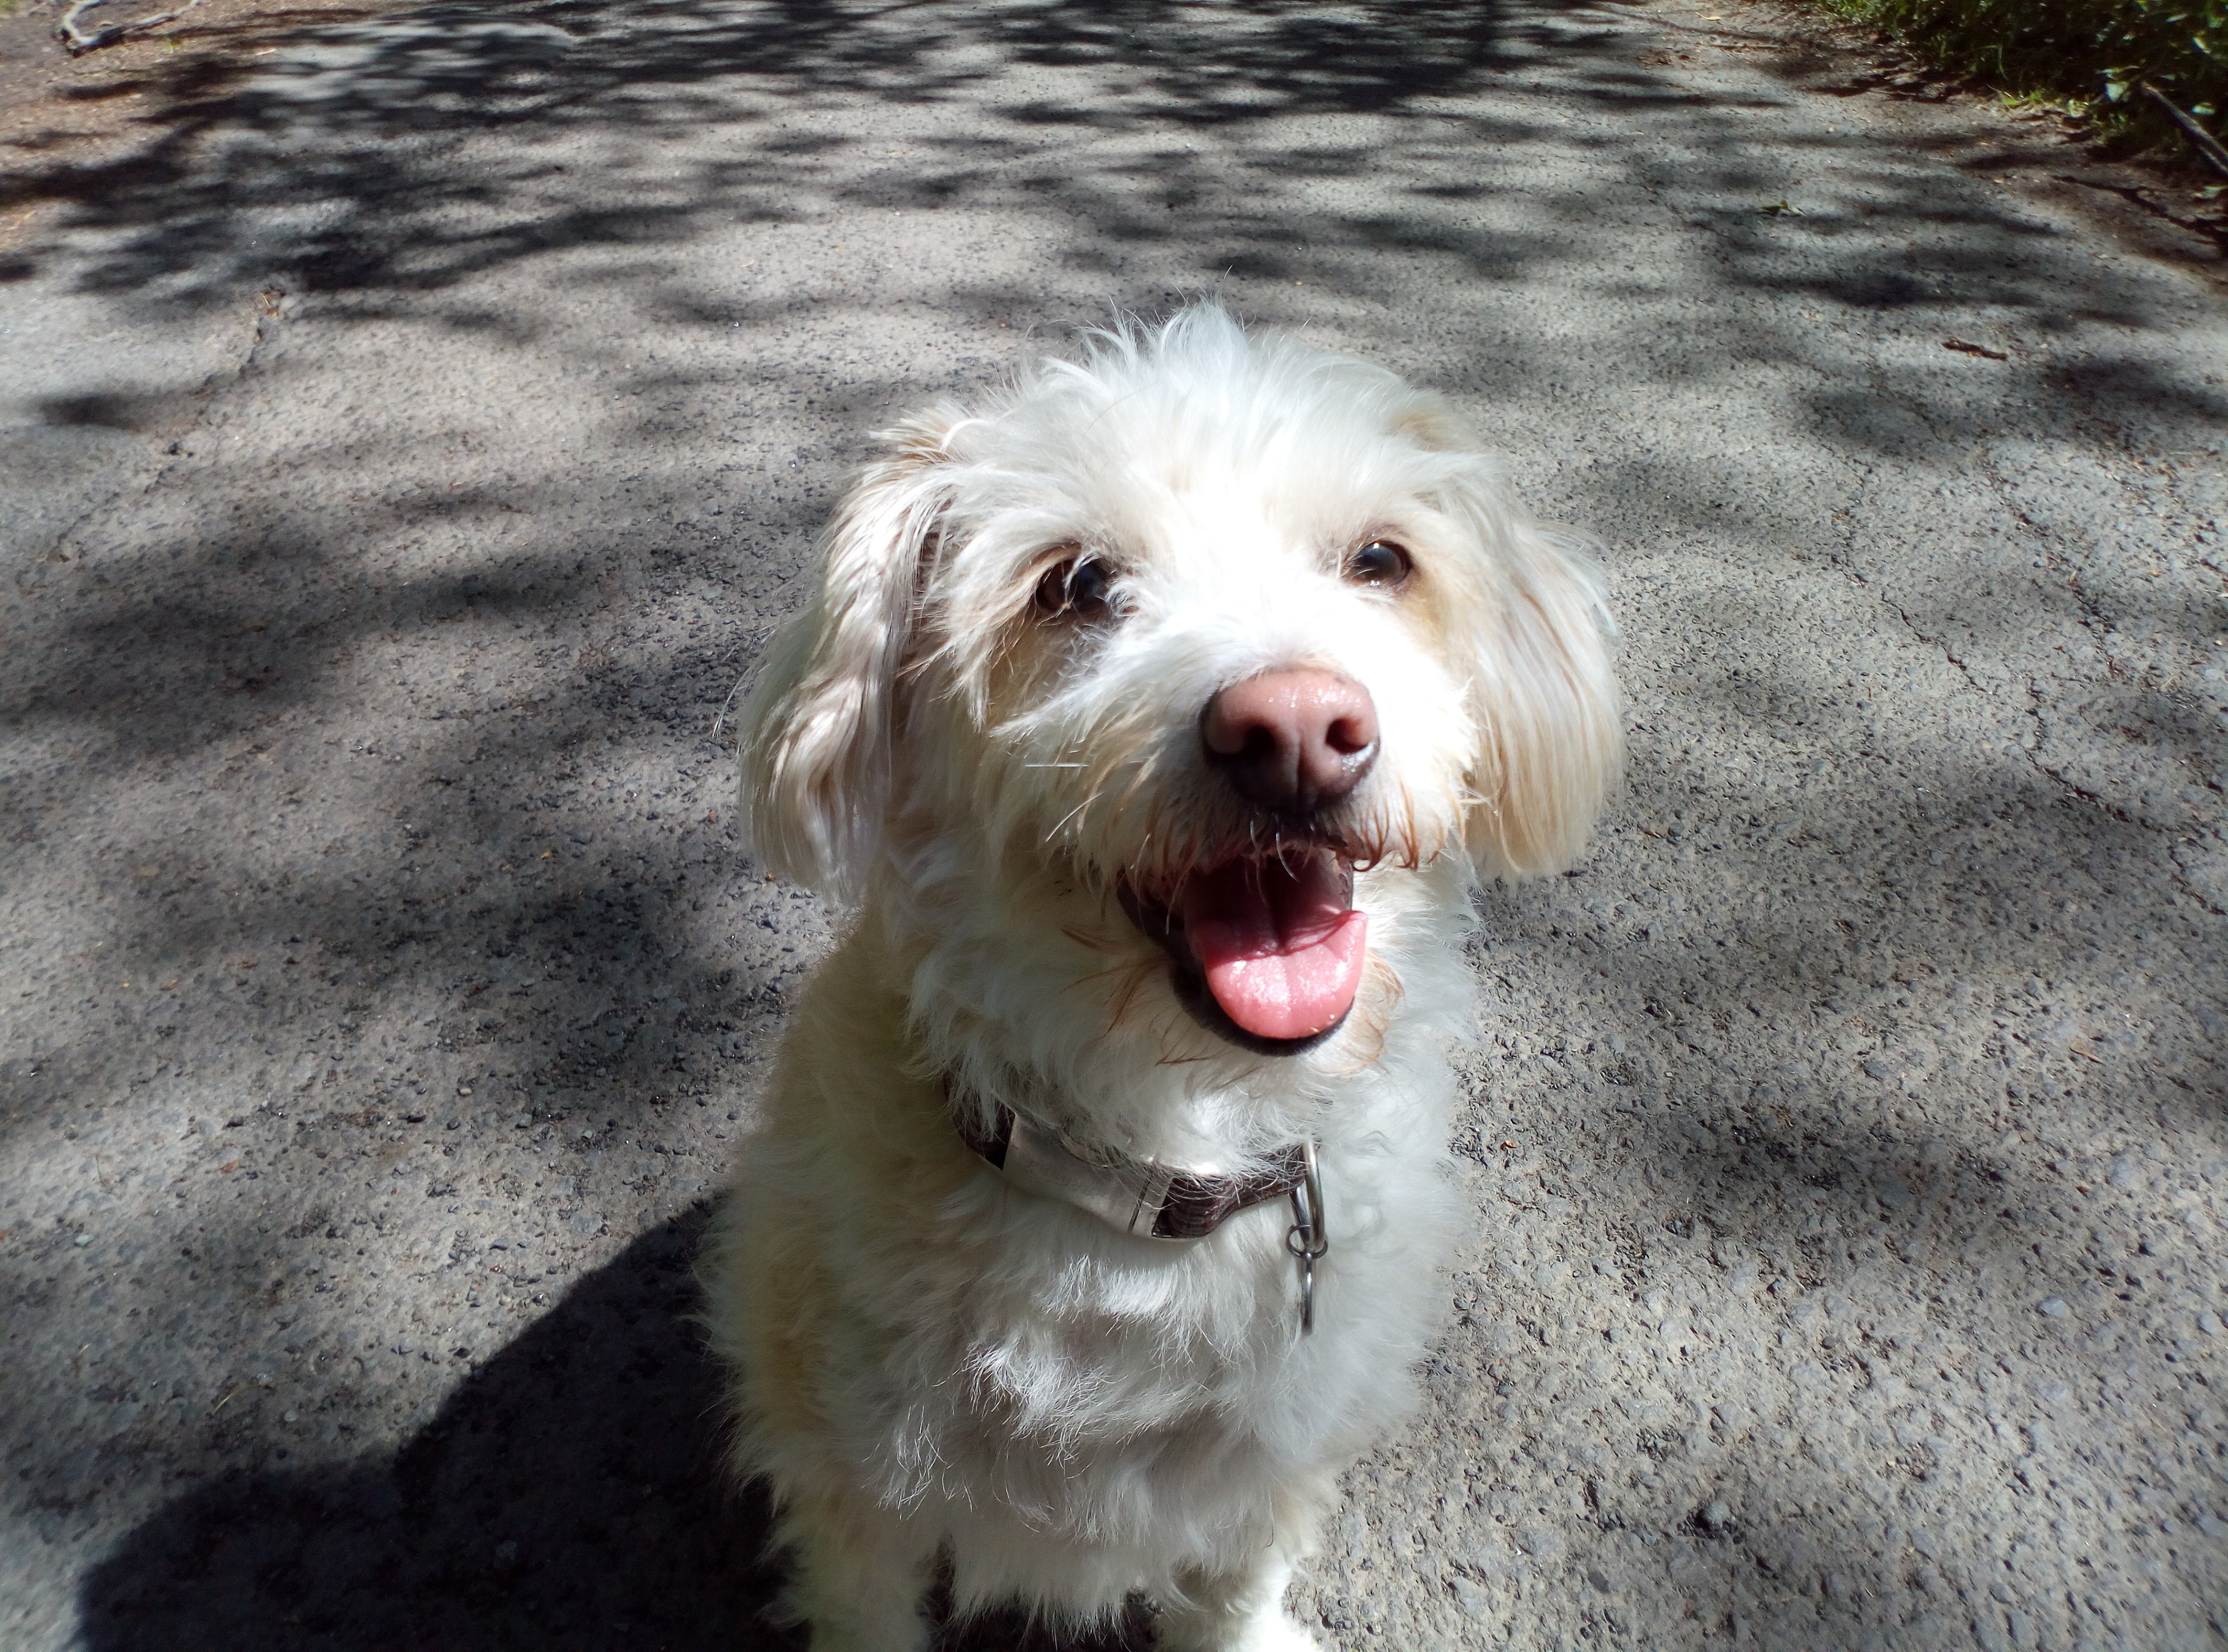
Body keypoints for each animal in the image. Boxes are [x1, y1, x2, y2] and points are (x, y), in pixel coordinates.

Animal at [703, 305, 1621, 1650]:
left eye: (1380, 559)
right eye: (1076, 583)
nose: (1296, 730)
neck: (1159, 1162)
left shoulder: (1274, 1462)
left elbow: (1231, 1595)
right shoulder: (853, 1485)